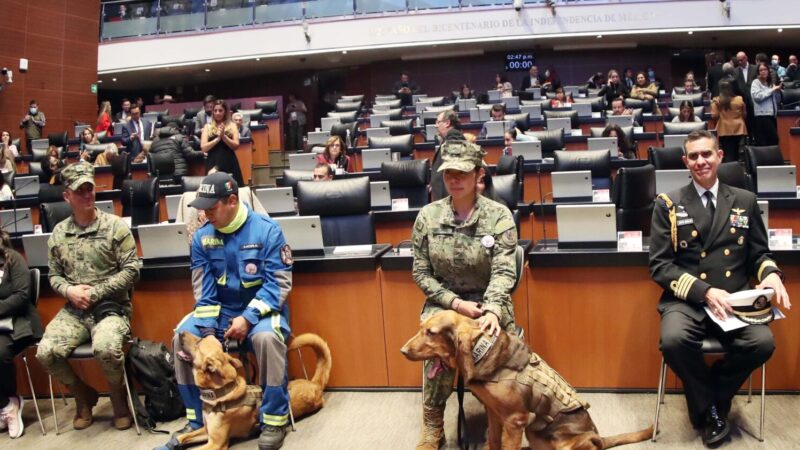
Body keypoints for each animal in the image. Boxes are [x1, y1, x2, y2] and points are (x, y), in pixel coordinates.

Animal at [404, 312, 652, 450]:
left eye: (431, 332)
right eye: (421, 328)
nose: (402, 351)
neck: (481, 351)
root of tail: (599, 436)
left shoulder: (516, 421)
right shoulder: (494, 413)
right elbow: (494, 441)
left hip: (563, 440)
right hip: (534, 432)